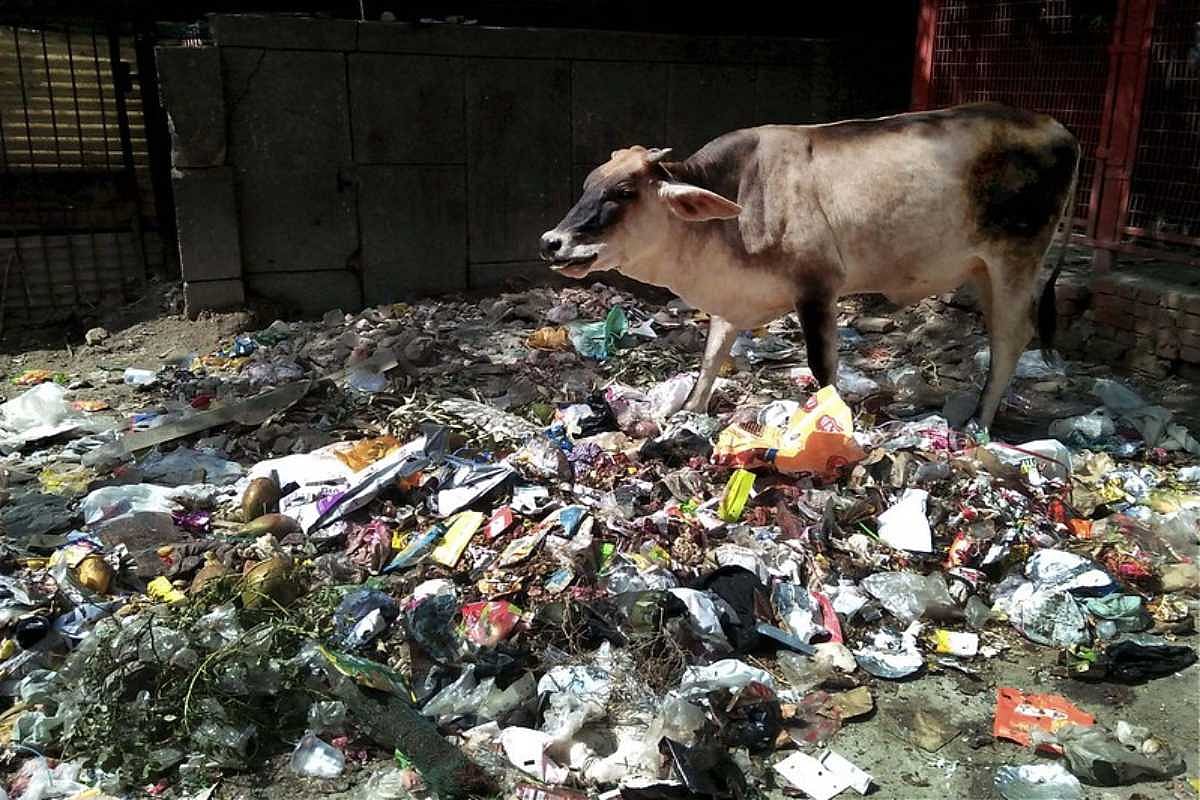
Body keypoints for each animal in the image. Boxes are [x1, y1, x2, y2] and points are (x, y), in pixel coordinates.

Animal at [539, 103, 1080, 429]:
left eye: (623, 192)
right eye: (588, 185)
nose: (551, 243)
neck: (739, 203)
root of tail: (1059, 128)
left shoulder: (817, 287)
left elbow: (823, 370)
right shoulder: (732, 302)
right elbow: (710, 359)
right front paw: (691, 413)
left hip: (1015, 259)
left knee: (1011, 337)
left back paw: (980, 424)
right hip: (984, 271)